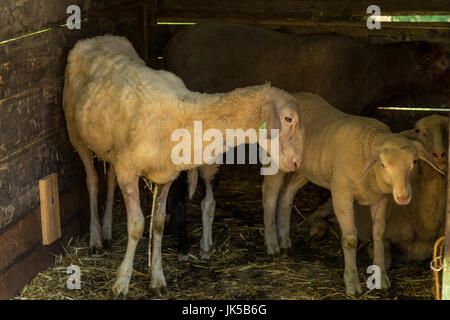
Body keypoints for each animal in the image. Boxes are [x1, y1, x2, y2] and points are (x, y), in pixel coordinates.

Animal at [62, 35, 306, 298]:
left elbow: (158, 226)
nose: (297, 162)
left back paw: (106, 230)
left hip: (109, 148)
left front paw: (157, 279)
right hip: (76, 135)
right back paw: (96, 238)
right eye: (289, 118)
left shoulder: (165, 175)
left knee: (109, 180)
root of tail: (97, 38)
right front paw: (121, 283)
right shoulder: (128, 169)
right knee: (92, 181)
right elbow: (136, 226)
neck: (182, 114)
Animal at [308, 114, 448, 268]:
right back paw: (317, 229)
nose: (439, 154)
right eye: (418, 130)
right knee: (317, 214)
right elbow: (385, 258)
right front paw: (371, 250)